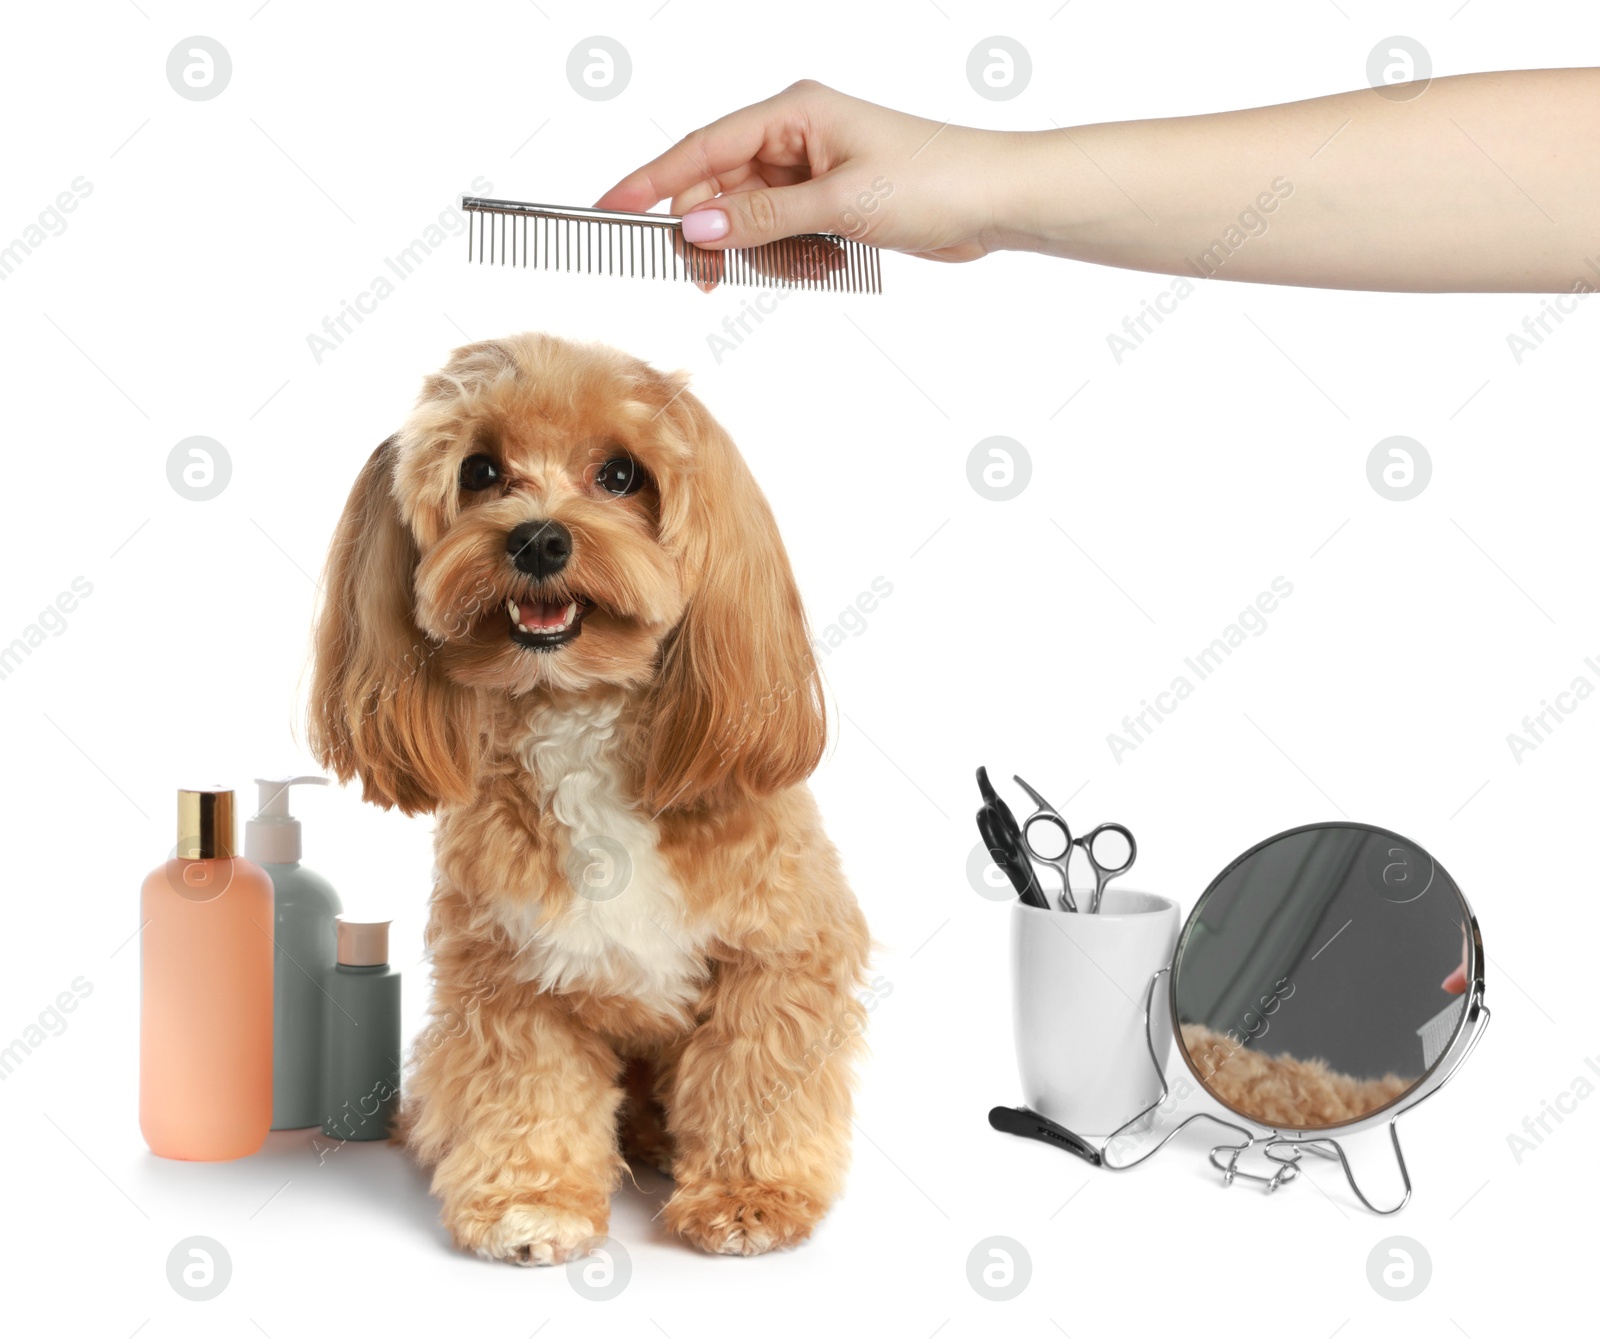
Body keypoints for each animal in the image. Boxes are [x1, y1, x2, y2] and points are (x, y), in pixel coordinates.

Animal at [305, 334, 870, 1267]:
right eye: (480, 469)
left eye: (619, 474)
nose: (538, 538)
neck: (579, 715)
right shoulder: (512, 978)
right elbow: (530, 1091)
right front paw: (531, 1203)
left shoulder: (779, 954)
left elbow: (752, 1075)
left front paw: (748, 1196)